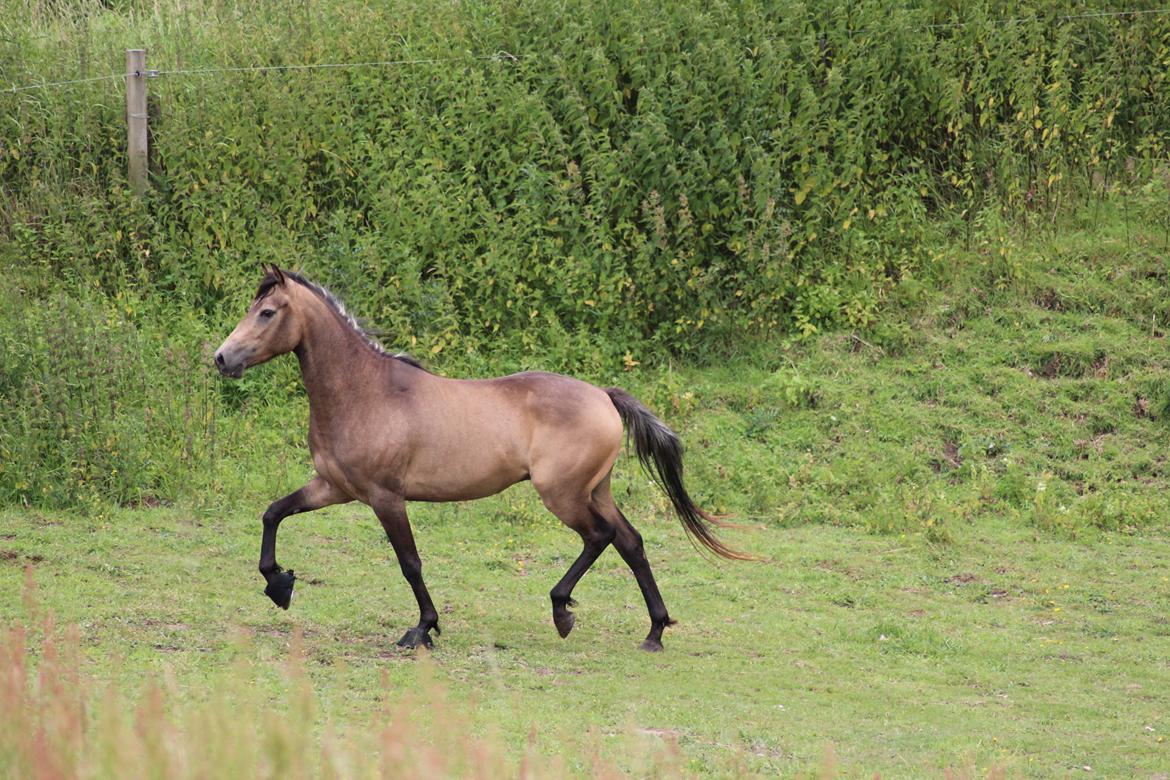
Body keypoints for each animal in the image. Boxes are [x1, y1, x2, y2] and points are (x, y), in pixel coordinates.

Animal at [216, 265, 748, 650]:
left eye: (267, 312)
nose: (223, 358)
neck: (365, 393)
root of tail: (603, 395)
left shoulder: (385, 498)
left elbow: (410, 563)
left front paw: (422, 629)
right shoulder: (334, 488)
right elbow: (273, 513)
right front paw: (279, 585)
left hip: (562, 494)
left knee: (600, 538)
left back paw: (562, 611)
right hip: (596, 490)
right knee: (631, 542)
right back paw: (654, 632)